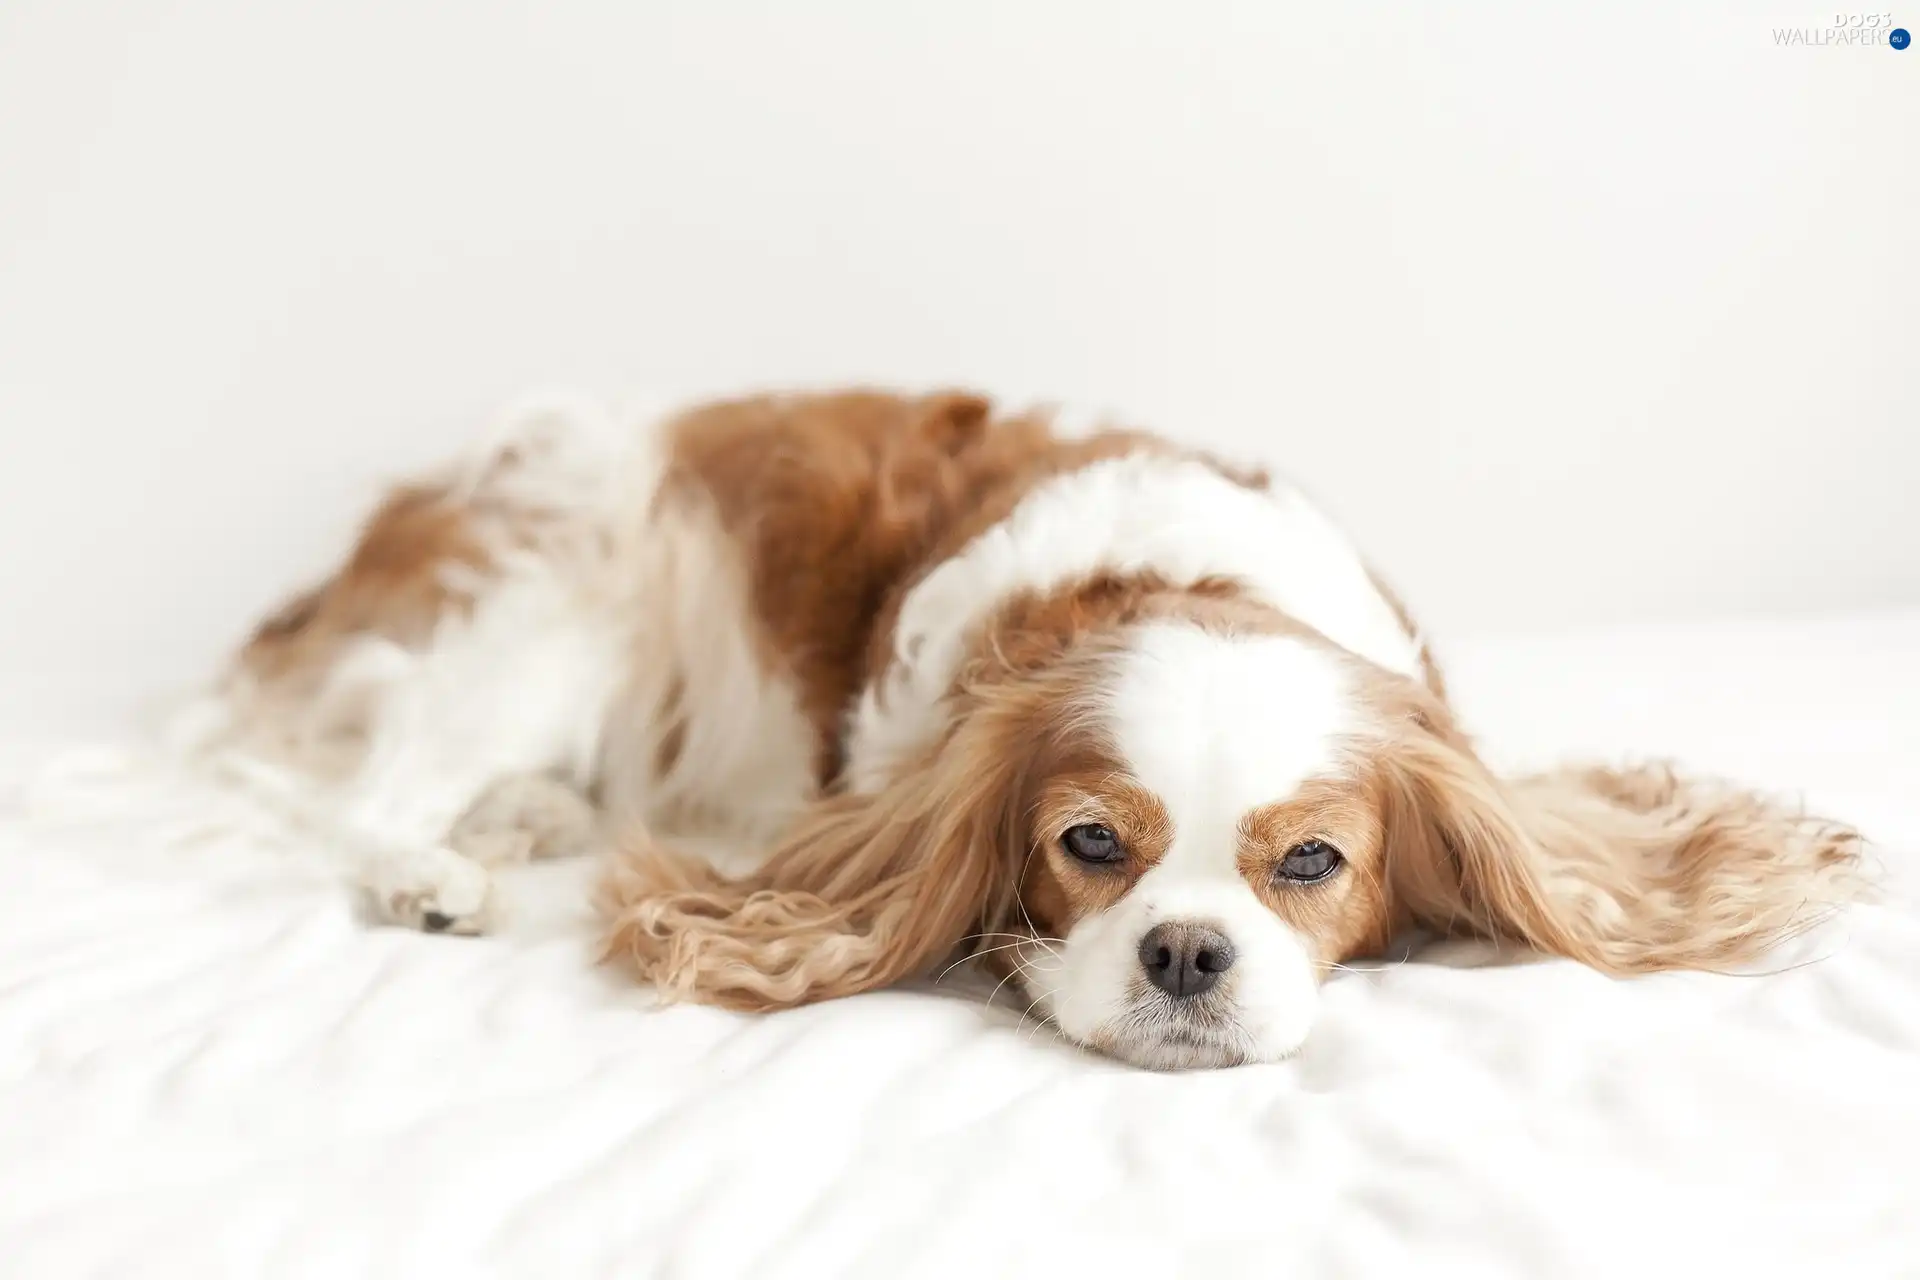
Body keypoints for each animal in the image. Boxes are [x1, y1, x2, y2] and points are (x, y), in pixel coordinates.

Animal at [191, 387, 1858, 1074]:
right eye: (1091, 845)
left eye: (1311, 864)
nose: (1186, 954)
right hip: (557, 604)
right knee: (360, 780)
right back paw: (432, 869)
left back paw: (524, 818)